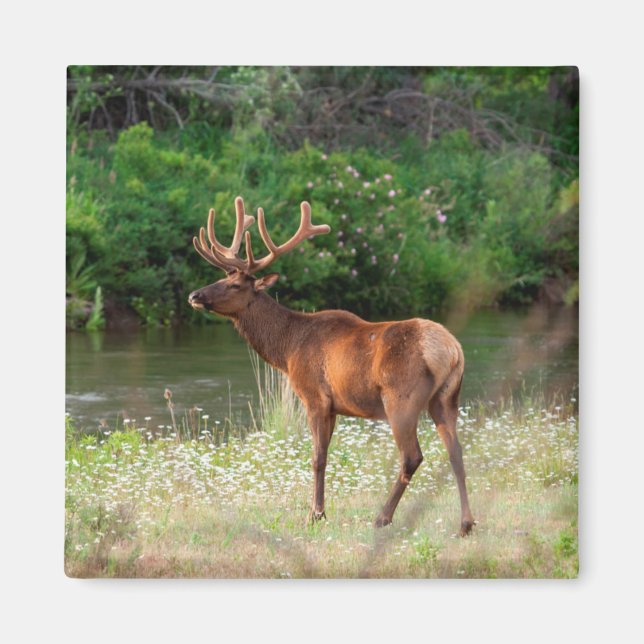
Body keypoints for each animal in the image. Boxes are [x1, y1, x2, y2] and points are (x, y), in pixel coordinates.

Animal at [188, 196, 475, 536]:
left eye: (235, 285)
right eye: (221, 277)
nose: (194, 295)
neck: (287, 349)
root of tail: (452, 350)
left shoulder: (315, 396)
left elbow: (318, 458)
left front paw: (315, 514)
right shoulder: (336, 406)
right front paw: (318, 511)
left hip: (401, 399)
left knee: (412, 456)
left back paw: (382, 517)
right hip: (446, 398)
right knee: (456, 453)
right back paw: (466, 524)